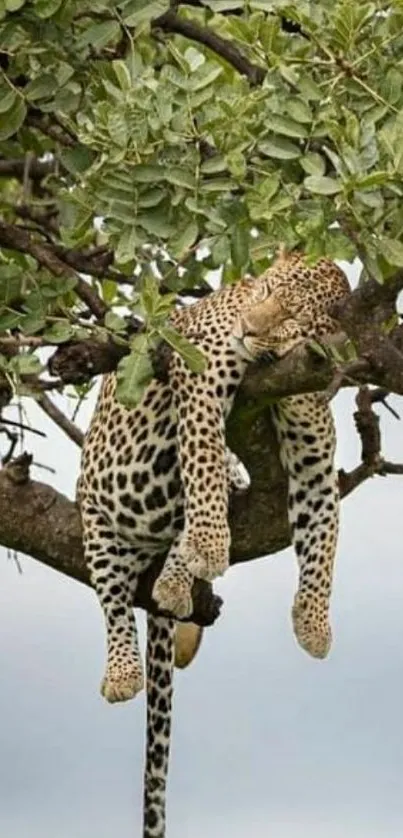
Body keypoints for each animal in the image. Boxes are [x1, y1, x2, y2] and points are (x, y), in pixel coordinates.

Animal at [79, 249, 350, 838]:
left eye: (293, 315)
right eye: (264, 291)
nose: (249, 327)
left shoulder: (314, 455)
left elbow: (323, 540)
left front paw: (313, 625)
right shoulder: (199, 371)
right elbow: (201, 452)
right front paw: (208, 542)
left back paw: (177, 583)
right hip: (96, 521)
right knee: (114, 605)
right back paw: (122, 673)